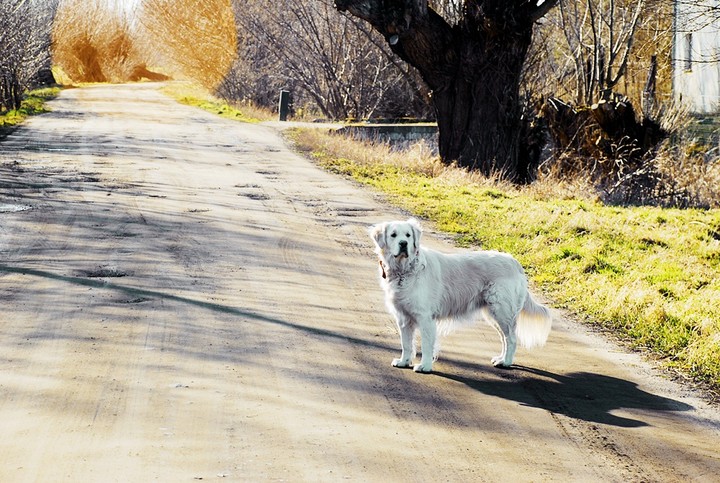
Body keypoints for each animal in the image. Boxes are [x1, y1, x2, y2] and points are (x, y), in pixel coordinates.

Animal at [372, 219, 552, 374]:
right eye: (393, 235)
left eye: (408, 235)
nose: (404, 244)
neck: (404, 270)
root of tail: (515, 262)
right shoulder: (403, 318)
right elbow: (406, 344)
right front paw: (404, 362)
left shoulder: (425, 318)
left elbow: (426, 345)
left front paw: (425, 366)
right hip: (494, 314)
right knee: (505, 338)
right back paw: (500, 359)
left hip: (502, 311)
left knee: (512, 339)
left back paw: (506, 362)